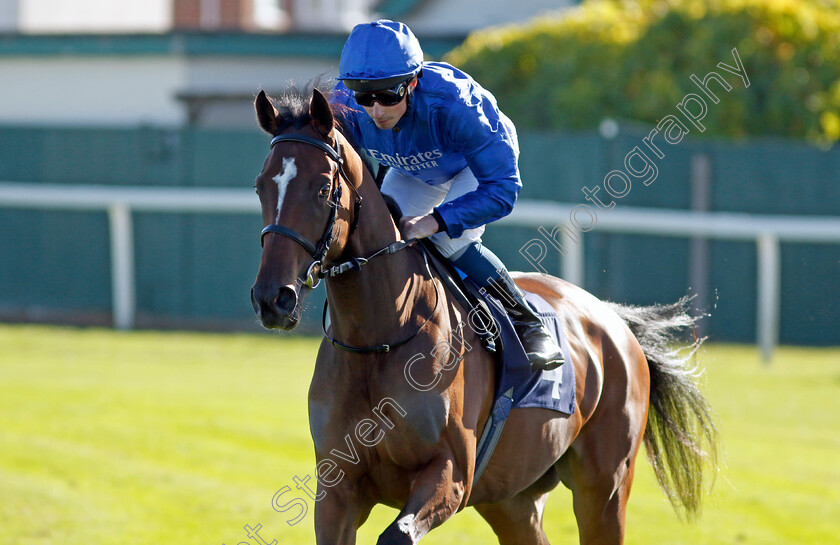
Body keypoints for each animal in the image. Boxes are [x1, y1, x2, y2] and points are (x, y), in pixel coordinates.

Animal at [249, 86, 720, 544]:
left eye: (323, 188)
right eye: (260, 187)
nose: (273, 298)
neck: (379, 339)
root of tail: (616, 322)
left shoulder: (452, 475)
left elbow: (397, 534)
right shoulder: (338, 489)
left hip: (604, 487)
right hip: (511, 498)